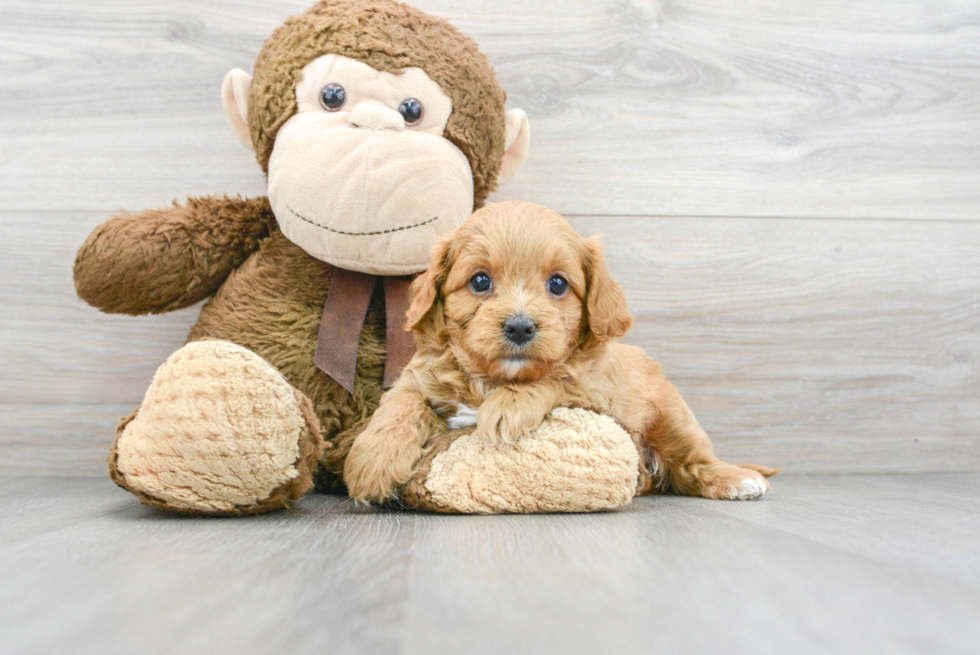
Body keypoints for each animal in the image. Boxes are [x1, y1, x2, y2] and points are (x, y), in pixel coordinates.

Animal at [348, 202, 776, 504]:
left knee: (694, 465)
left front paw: (508, 406)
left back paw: (737, 479)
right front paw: (372, 461)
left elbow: (556, 376)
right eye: (480, 281)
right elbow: (400, 405)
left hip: (673, 418)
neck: (493, 379)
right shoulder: (420, 376)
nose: (520, 327)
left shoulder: (593, 391)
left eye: (557, 284)